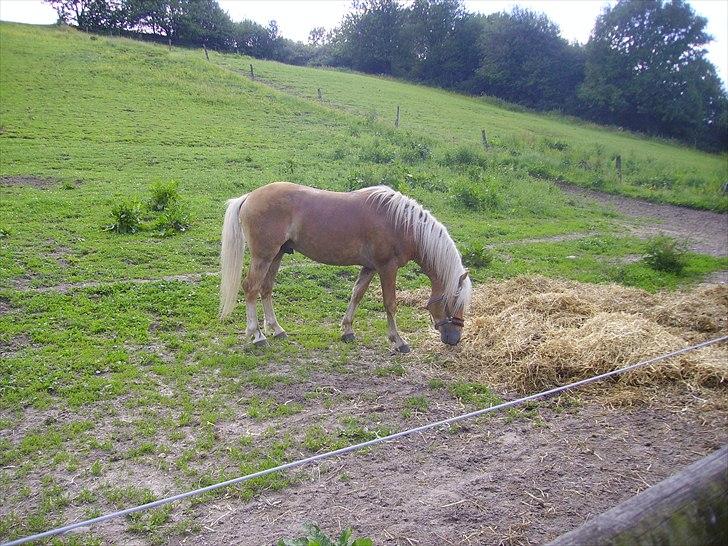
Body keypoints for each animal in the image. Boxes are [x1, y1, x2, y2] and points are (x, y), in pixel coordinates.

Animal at [219, 182, 474, 352]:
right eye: (455, 302)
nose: (455, 339)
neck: (402, 224)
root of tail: (249, 197)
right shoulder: (387, 268)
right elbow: (390, 304)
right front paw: (398, 341)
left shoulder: (370, 268)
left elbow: (356, 295)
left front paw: (347, 330)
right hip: (263, 256)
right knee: (251, 288)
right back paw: (257, 335)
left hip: (277, 255)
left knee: (266, 289)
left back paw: (277, 329)